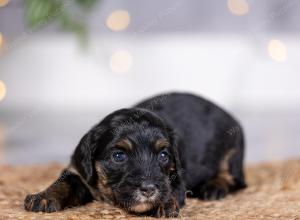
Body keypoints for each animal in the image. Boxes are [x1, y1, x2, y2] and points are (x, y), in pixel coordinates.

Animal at [24, 92, 246, 217]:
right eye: (119, 156)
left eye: (164, 155)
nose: (148, 189)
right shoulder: (79, 171)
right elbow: (64, 182)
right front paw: (43, 197)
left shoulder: (176, 177)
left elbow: (170, 188)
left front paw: (163, 203)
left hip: (233, 151)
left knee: (232, 178)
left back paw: (214, 187)